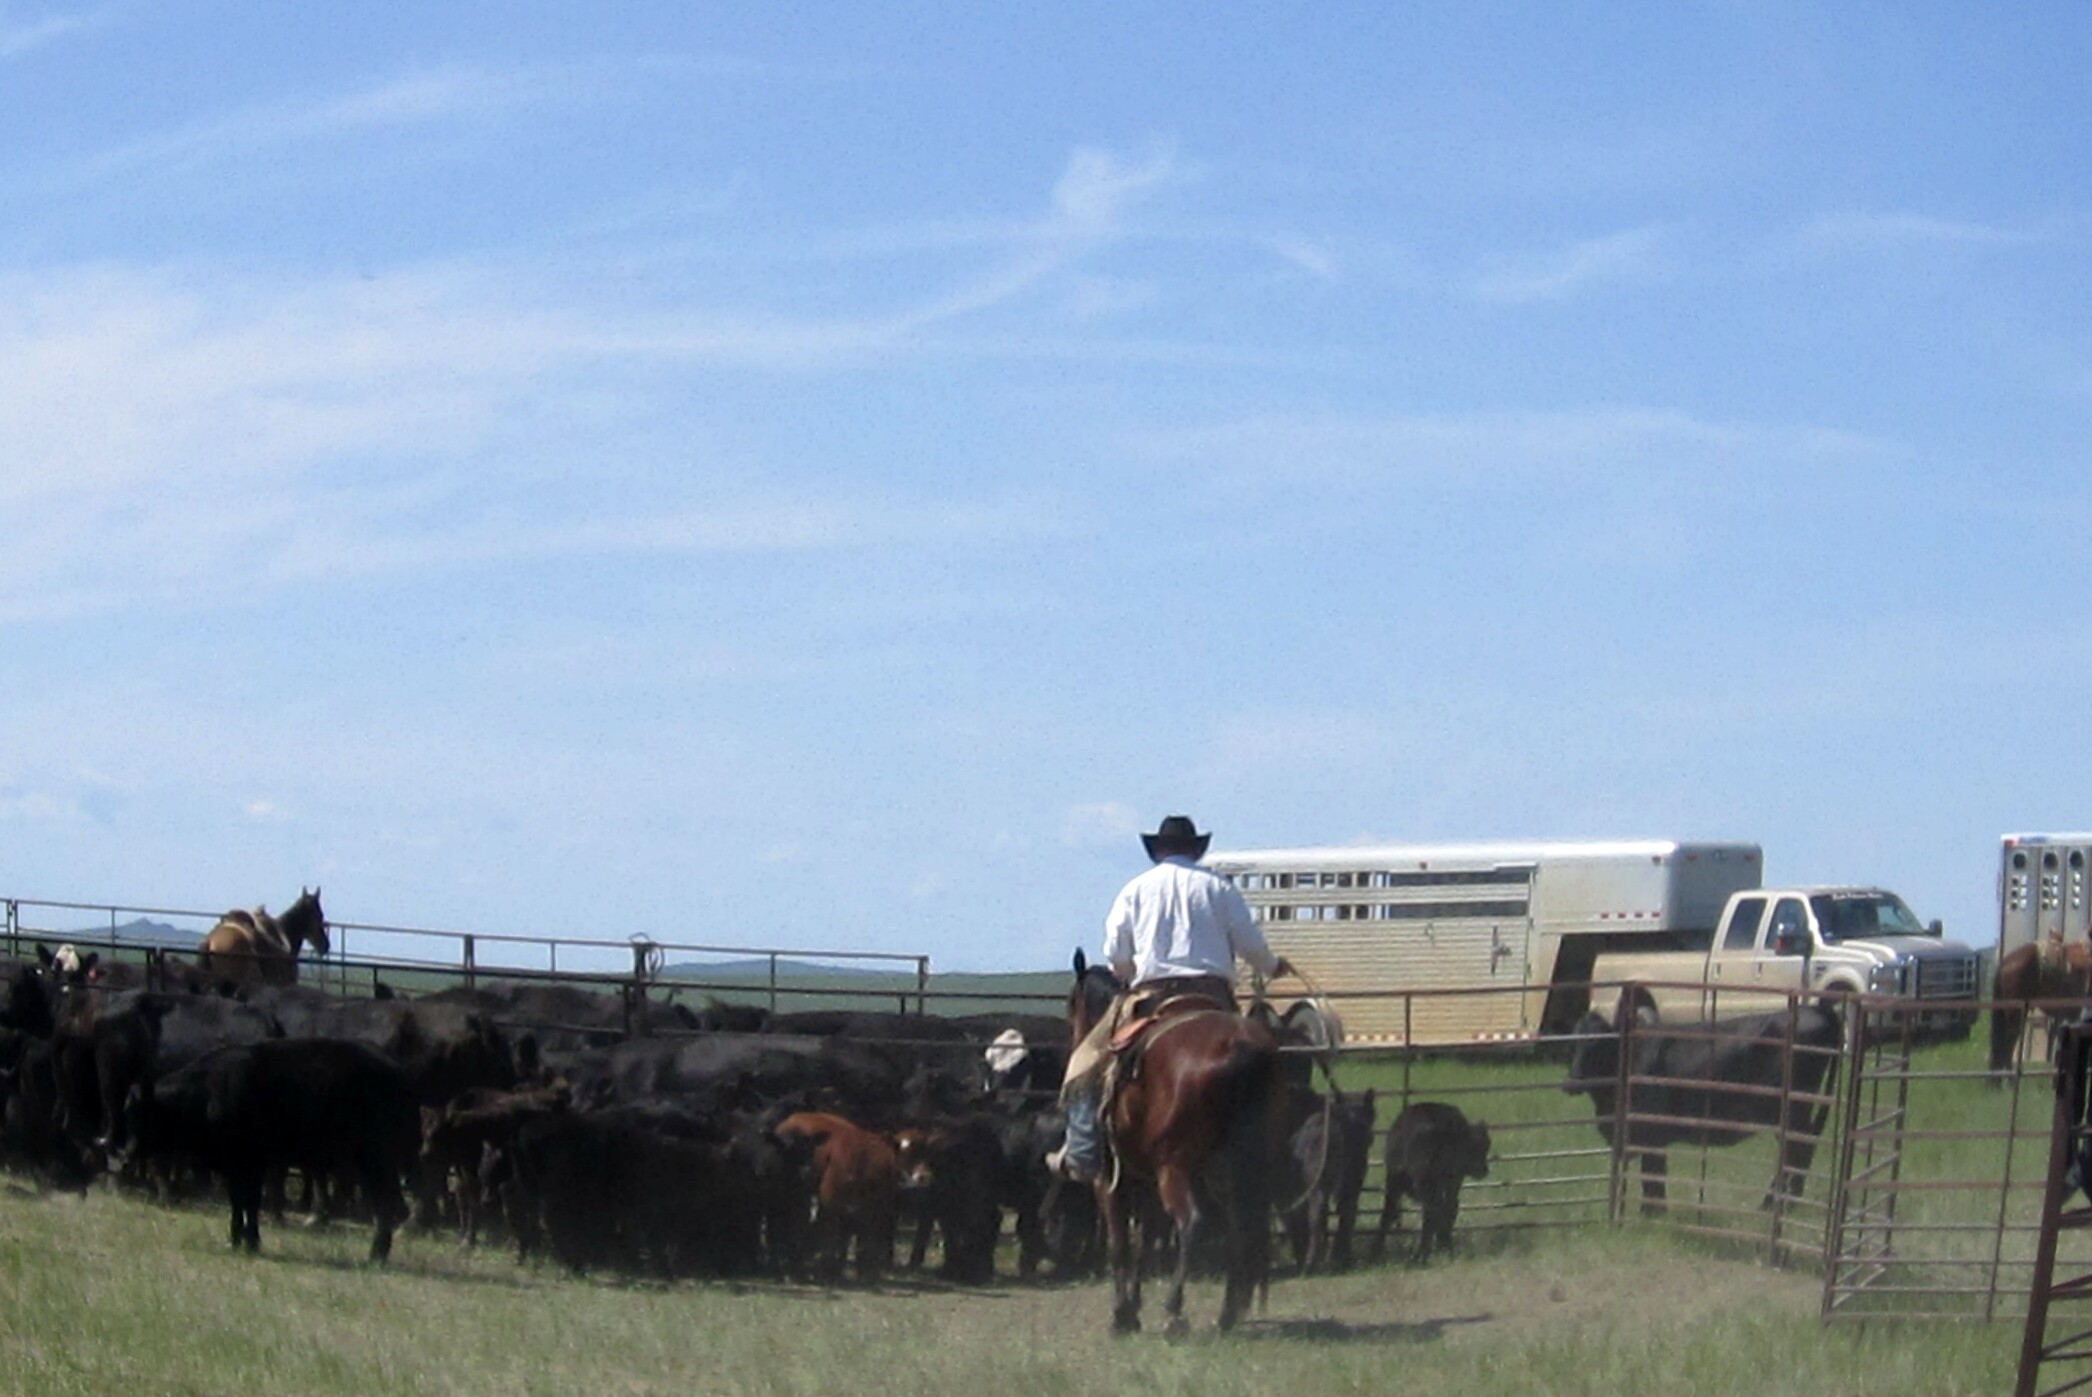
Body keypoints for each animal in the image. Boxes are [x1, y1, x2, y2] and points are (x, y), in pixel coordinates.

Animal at [119, 1037, 421, 1261]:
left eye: (139, 1114)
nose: (123, 1155)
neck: (207, 1096)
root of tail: (398, 1071)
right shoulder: (233, 1166)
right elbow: (237, 1202)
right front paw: (236, 1239)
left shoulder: (252, 1163)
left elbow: (251, 1202)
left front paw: (251, 1242)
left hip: (377, 1159)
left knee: (387, 1205)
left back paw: (376, 1255)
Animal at [1066, 950, 1280, 1336]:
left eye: (1070, 1004)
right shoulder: (1147, 1179)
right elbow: (1148, 1238)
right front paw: (1133, 1306)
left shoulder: (1110, 1178)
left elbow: (1120, 1243)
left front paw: (1122, 1314)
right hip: (1236, 1166)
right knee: (1240, 1225)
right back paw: (1227, 1313)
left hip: (1178, 1168)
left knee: (1192, 1221)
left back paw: (1175, 1312)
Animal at [1562, 1004, 1843, 1215]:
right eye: (1572, 1045)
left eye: (1598, 1045)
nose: (1571, 1083)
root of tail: (1817, 1009)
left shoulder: (1651, 1132)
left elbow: (1653, 1173)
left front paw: (1653, 1212)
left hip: (1789, 1112)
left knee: (1796, 1150)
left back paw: (1774, 1204)